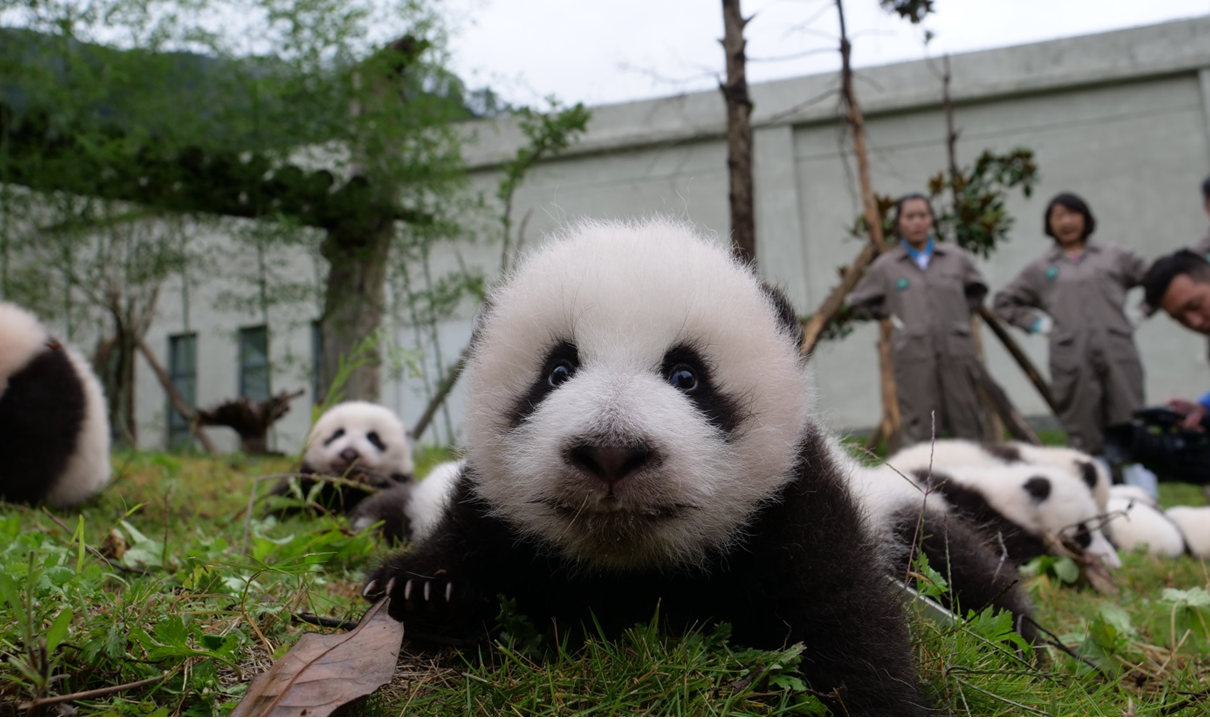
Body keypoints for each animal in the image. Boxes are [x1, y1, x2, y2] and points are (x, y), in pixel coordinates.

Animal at [272, 401, 414, 516]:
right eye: (338, 433)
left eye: (373, 437)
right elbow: (284, 499)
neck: (348, 486)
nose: (349, 454)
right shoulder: (306, 479)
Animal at [364, 218, 929, 715]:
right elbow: (463, 543)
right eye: (557, 371)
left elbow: (843, 620)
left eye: (686, 376)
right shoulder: (491, 505)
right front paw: (423, 591)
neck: (631, 569)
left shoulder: (793, 505)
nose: (610, 452)